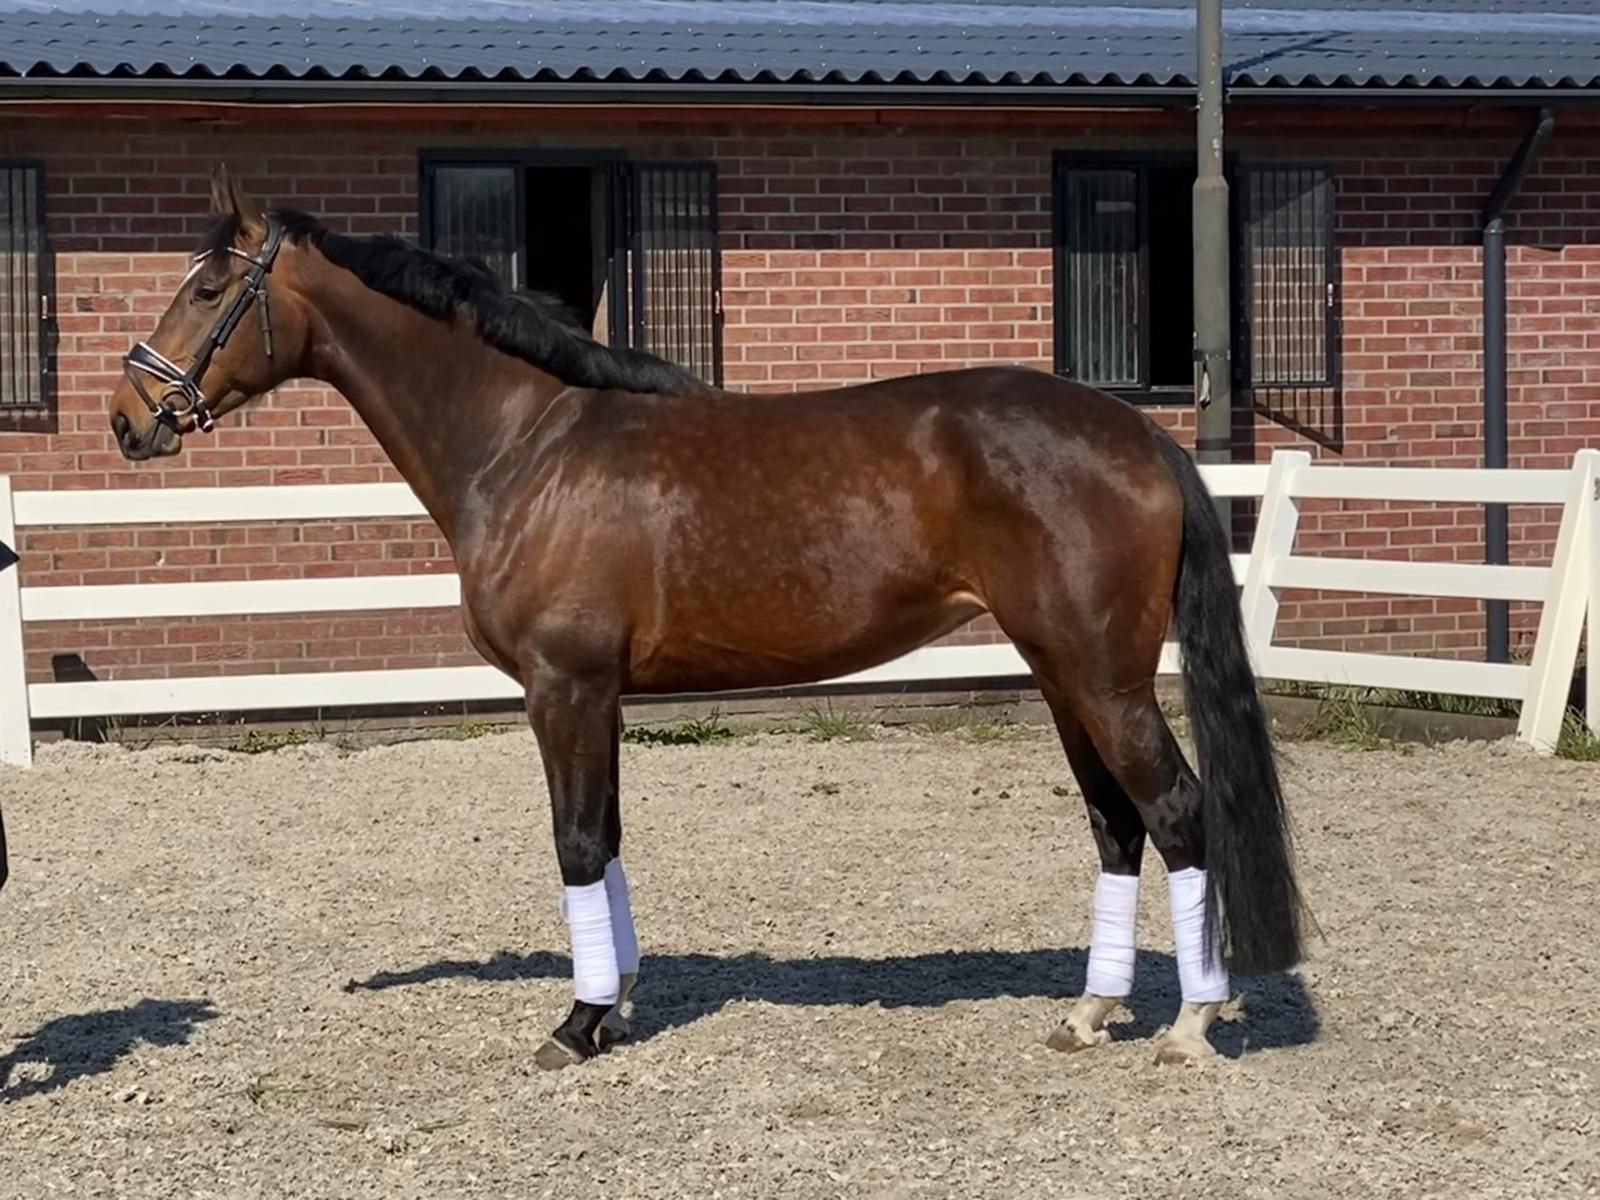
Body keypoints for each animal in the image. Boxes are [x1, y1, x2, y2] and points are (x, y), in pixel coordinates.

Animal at [108, 167, 1305, 1070]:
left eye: (208, 288)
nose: (128, 417)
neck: (527, 443)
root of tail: (1137, 434)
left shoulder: (564, 688)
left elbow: (576, 843)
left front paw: (578, 1024)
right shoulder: (597, 697)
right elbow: (607, 841)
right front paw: (618, 1002)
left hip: (1102, 678)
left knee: (1178, 813)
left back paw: (1192, 1023)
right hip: (1063, 673)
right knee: (1115, 825)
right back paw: (1091, 1012)